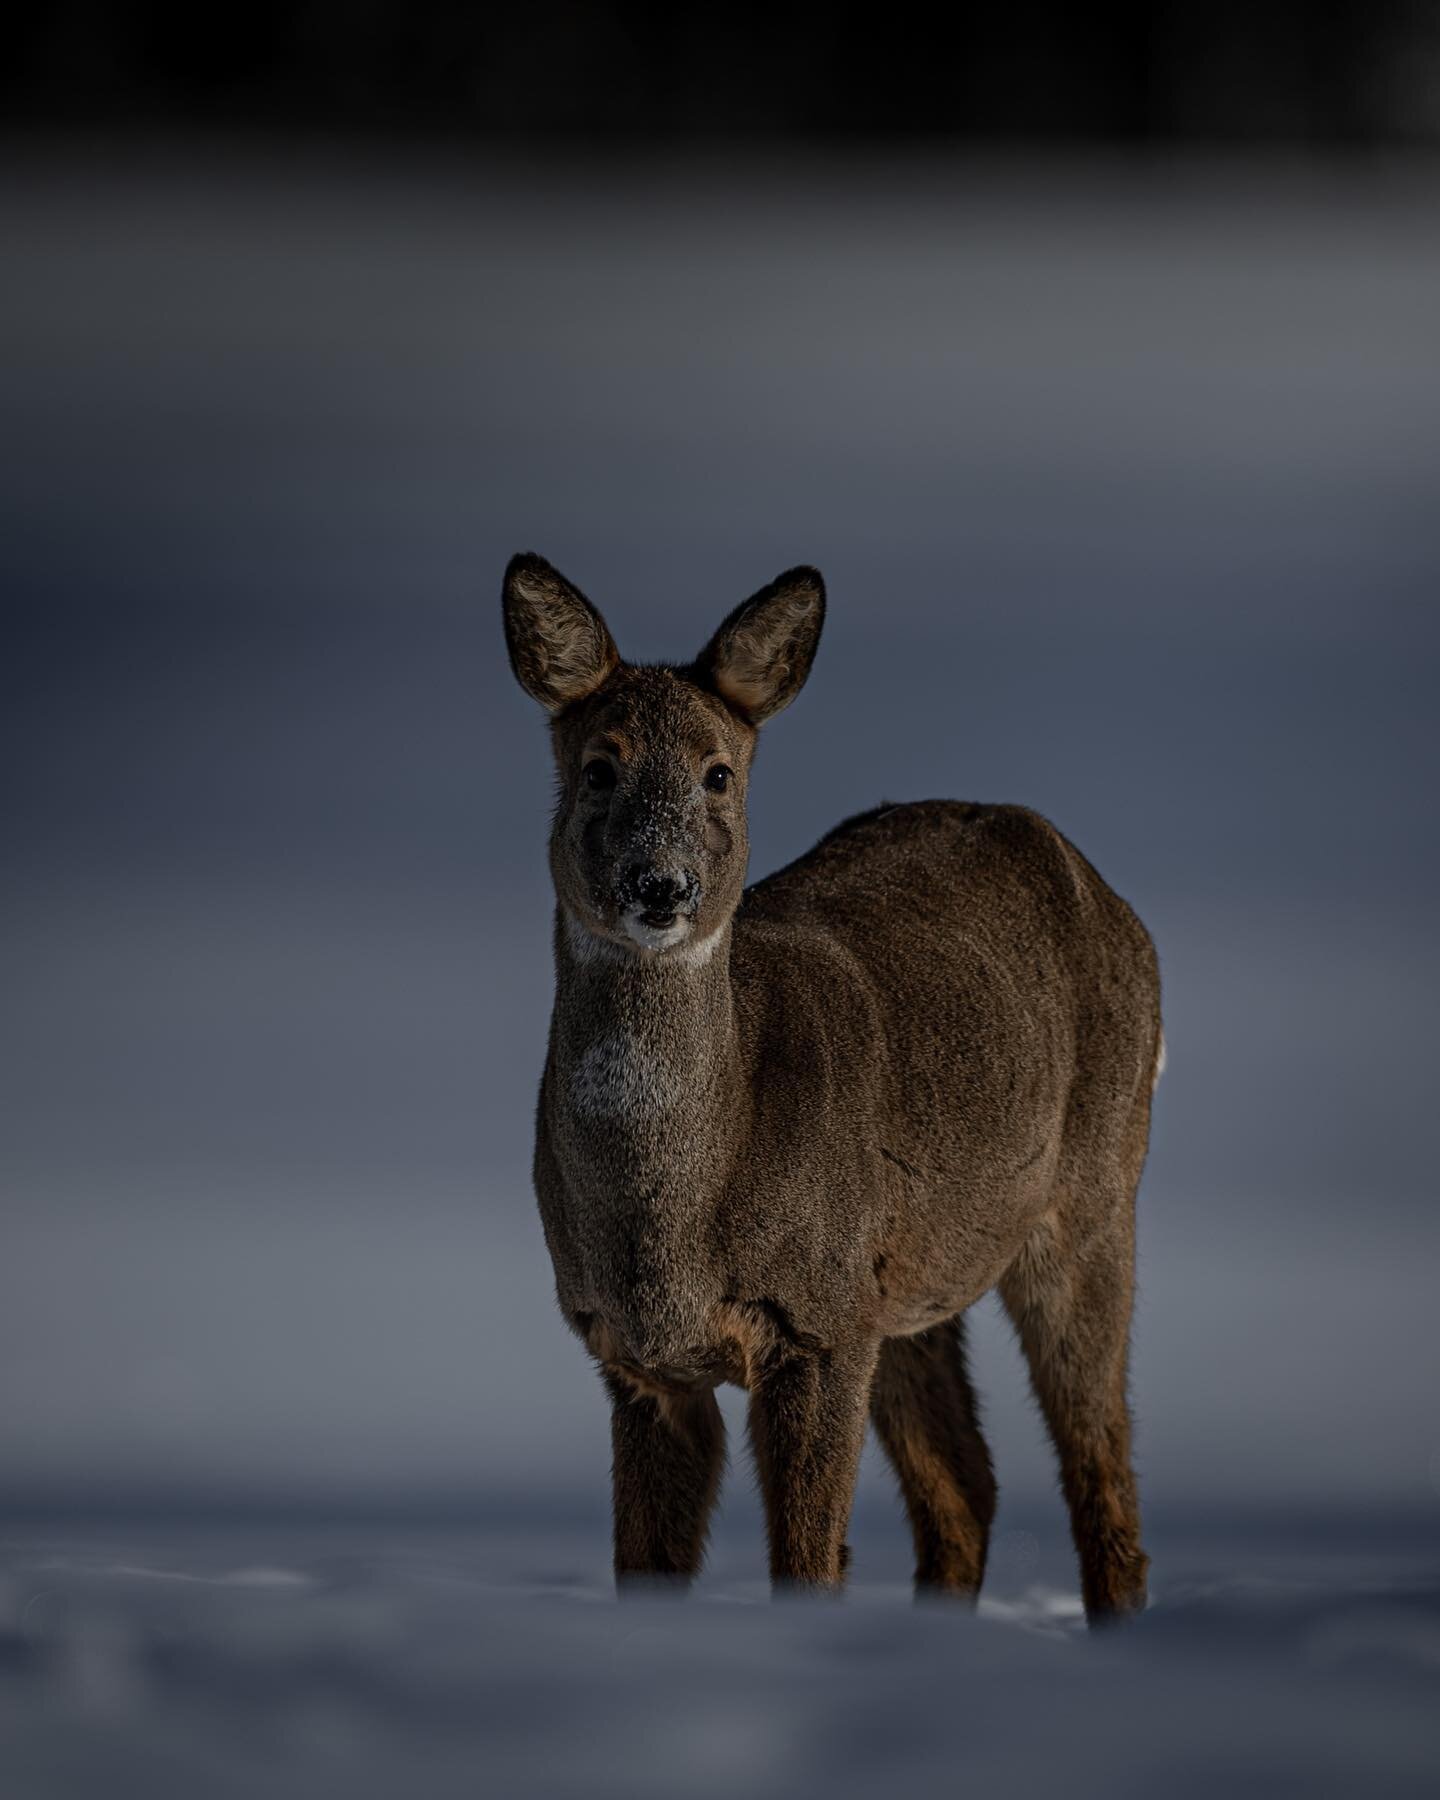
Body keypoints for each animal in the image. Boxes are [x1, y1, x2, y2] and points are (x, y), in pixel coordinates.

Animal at [504, 547, 1159, 1620]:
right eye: (600, 765)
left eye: (718, 772)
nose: (661, 885)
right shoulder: (635, 1356)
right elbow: (646, 1568)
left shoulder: (815, 1324)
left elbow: (808, 1564)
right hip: (906, 1284)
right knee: (967, 1489)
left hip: (1091, 1197)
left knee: (1098, 1463)